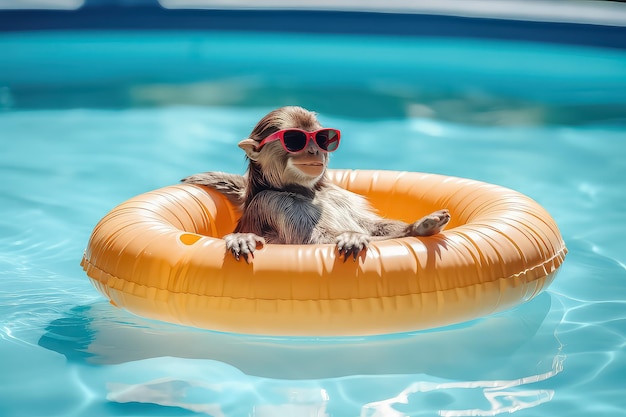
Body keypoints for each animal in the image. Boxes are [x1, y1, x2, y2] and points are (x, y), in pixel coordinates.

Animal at [180, 105, 448, 262]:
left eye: (322, 138)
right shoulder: (274, 202)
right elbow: (316, 241)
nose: (314, 149)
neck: (305, 192)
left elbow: (371, 226)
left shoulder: (337, 193)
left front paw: (417, 226)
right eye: (294, 139)